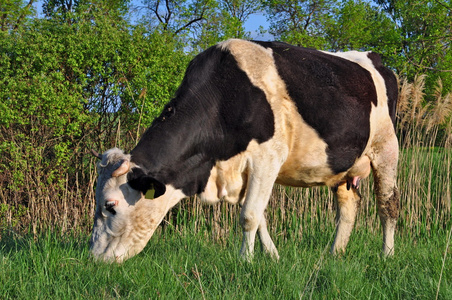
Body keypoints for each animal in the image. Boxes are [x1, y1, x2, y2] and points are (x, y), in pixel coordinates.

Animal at [89, 39, 400, 262]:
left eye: (110, 206)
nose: (93, 258)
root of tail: (373, 57)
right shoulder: (241, 171)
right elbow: (259, 215)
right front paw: (272, 256)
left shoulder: (267, 157)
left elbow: (249, 214)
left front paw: (245, 261)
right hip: (343, 166)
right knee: (349, 206)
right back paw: (335, 254)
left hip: (386, 149)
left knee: (388, 205)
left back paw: (387, 254)